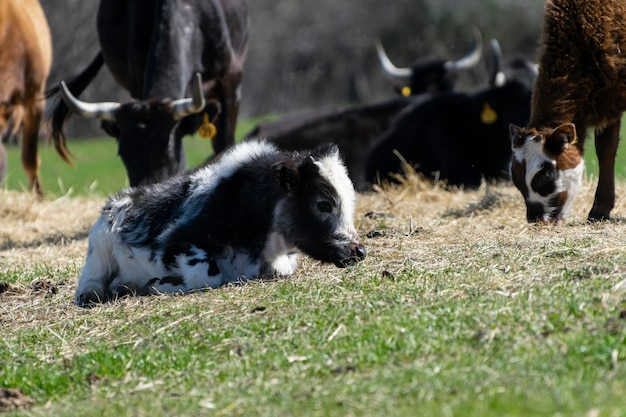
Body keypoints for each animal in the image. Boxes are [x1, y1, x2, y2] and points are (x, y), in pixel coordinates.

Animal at [73, 140, 366, 306]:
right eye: (324, 204)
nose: (359, 250)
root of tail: (124, 197)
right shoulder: (173, 243)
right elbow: (207, 275)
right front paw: (160, 283)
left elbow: (281, 269)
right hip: (98, 247)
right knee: (91, 282)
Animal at [510, 0, 626, 224]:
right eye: (516, 178)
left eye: (545, 176)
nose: (535, 218)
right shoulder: (610, 96)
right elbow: (605, 149)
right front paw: (600, 209)